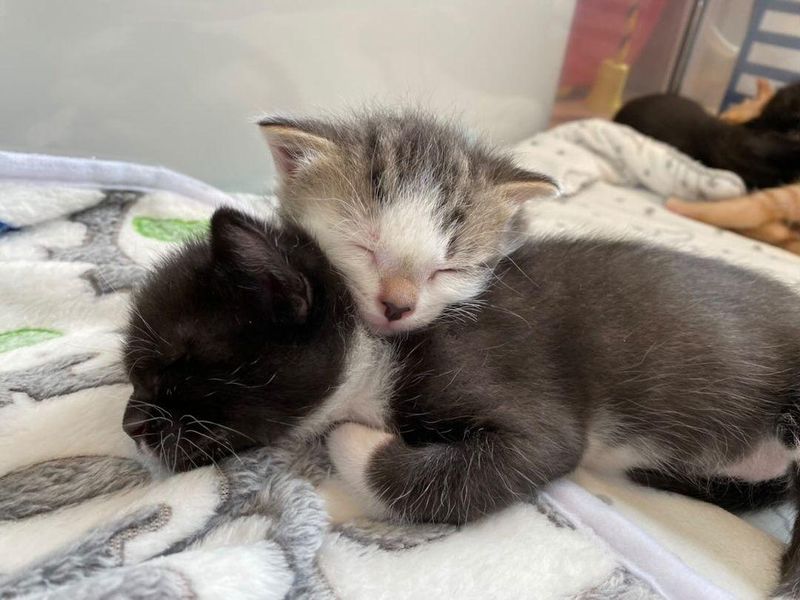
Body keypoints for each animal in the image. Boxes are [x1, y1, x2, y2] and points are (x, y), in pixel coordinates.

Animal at [120, 207, 800, 596]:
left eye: (174, 371)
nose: (129, 423)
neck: (379, 344)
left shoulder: (503, 378)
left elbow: (459, 469)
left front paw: (349, 435)